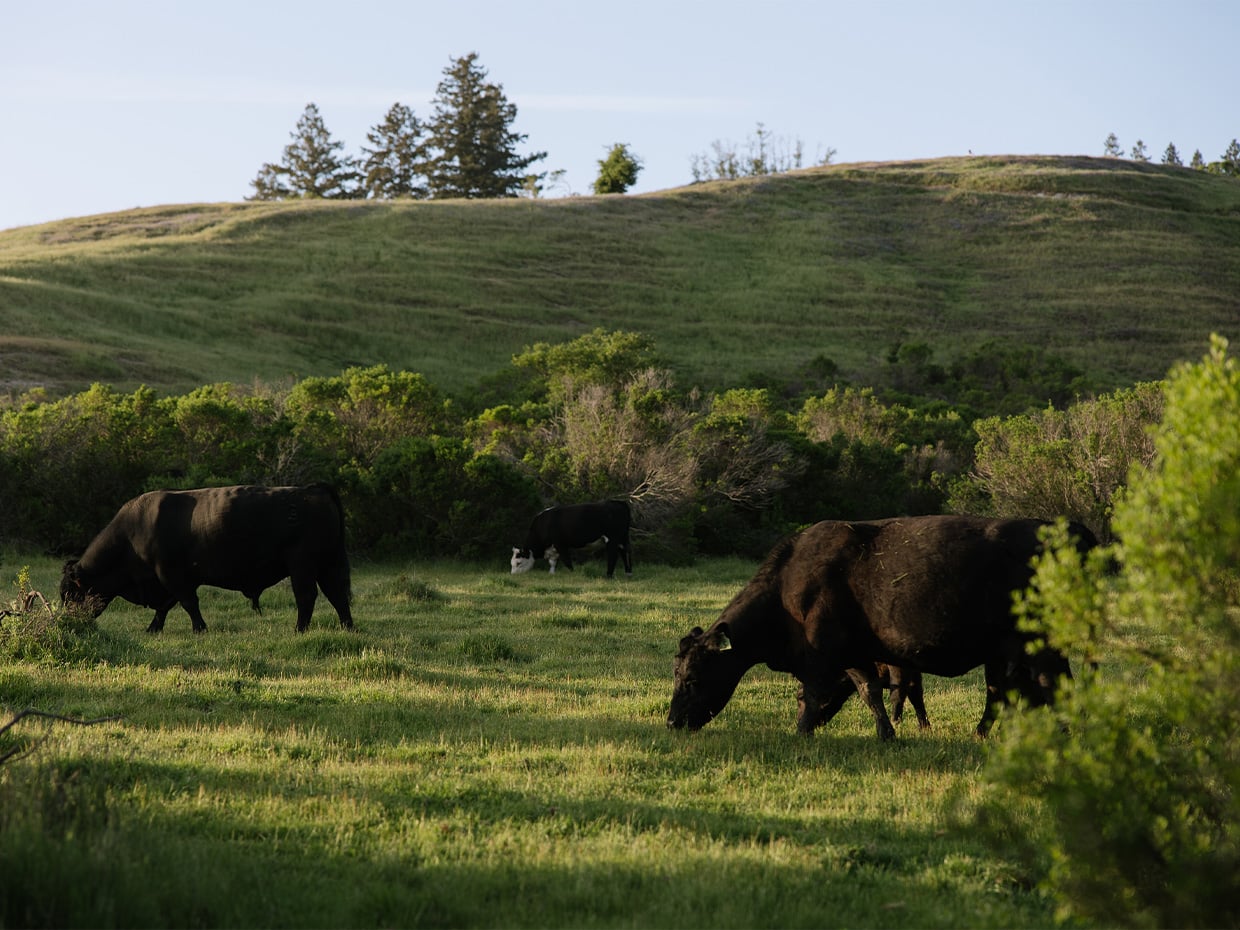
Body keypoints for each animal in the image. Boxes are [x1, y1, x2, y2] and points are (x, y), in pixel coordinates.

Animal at [61, 484, 353, 633]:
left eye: (71, 594)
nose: (68, 623)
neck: (133, 532)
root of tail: (314, 488)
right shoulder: (170, 580)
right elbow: (165, 607)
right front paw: (153, 629)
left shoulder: (172, 575)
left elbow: (187, 603)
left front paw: (199, 628)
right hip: (328, 565)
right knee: (338, 594)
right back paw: (347, 627)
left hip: (302, 566)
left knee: (307, 596)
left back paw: (299, 629)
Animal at [668, 515, 1096, 740]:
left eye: (691, 679)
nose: (672, 722)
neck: (788, 590)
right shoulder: (857, 655)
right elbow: (869, 692)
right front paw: (886, 733)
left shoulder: (825, 654)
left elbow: (821, 693)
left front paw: (802, 732)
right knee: (1008, 692)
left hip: (1040, 646)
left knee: (1051, 686)